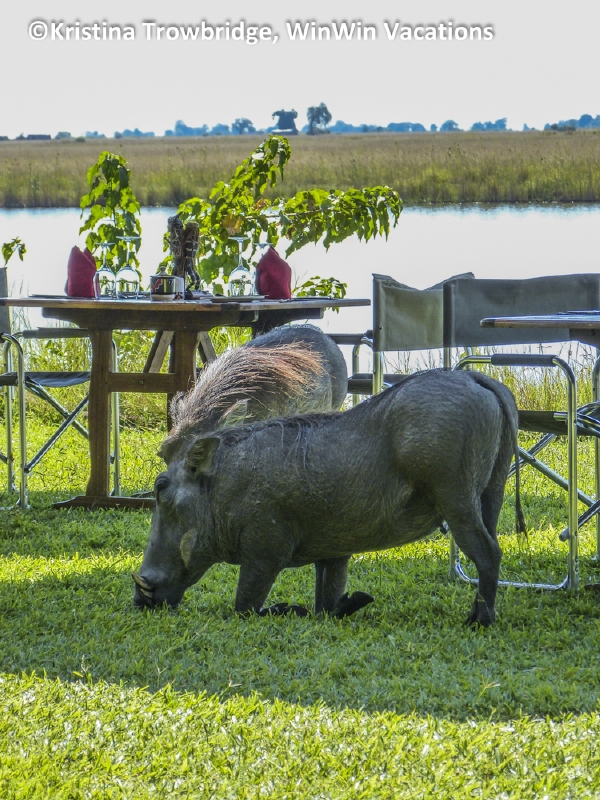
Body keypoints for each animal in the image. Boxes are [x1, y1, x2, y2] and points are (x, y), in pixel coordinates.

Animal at [133, 369, 519, 627]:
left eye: (160, 488)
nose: (139, 600)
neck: (223, 488)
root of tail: (477, 378)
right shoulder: (333, 552)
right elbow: (328, 599)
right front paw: (351, 604)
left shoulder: (264, 551)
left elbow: (245, 606)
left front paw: (288, 609)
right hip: (491, 493)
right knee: (491, 547)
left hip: (456, 498)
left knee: (488, 553)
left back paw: (480, 621)